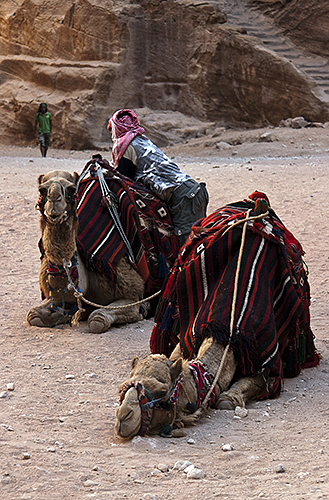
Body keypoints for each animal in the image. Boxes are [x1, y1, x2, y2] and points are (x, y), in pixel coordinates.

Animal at [27, 164, 178, 336]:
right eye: (41, 190)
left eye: (71, 189)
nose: (54, 201)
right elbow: (34, 315)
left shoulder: (133, 295)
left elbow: (98, 318)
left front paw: (143, 311)